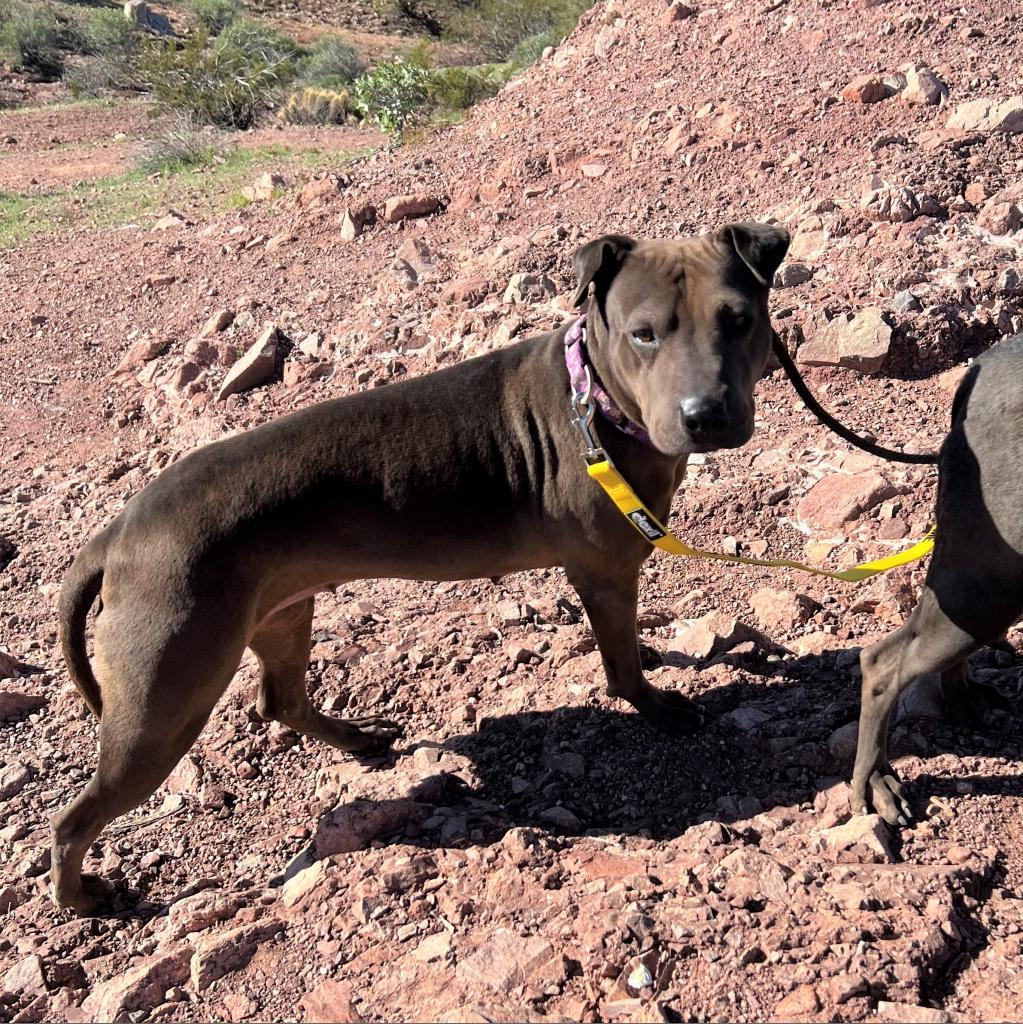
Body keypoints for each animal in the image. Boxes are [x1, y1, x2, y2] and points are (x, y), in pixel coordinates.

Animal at [54, 222, 790, 913]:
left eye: (736, 319)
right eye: (643, 334)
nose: (705, 415)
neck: (600, 404)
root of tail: (117, 532)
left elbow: (630, 643)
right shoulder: (603, 573)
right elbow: (622, 668)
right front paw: (657, 705)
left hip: (282, 612)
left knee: (282, 698)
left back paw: (355, 738)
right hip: (167, 695)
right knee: (74, 819)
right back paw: (83, 899)